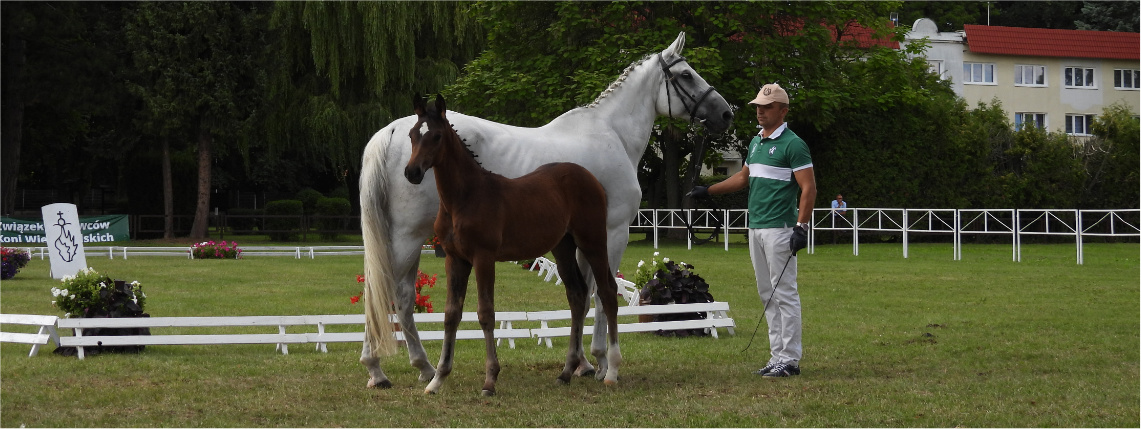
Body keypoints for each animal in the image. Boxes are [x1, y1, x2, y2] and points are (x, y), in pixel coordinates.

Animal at [358, 31, 730, 390]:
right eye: (686, 74)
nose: (726, 113)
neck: (611, 133)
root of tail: (390, 130)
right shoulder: (613, 231)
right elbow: (600, 292)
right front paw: (601, 362)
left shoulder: (574, 240)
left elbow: (581, 293)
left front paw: (581, 363)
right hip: (408, 238)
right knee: (387, 292)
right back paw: (379, 369)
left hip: (412, 238)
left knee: (399, 296)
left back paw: (421, 367)